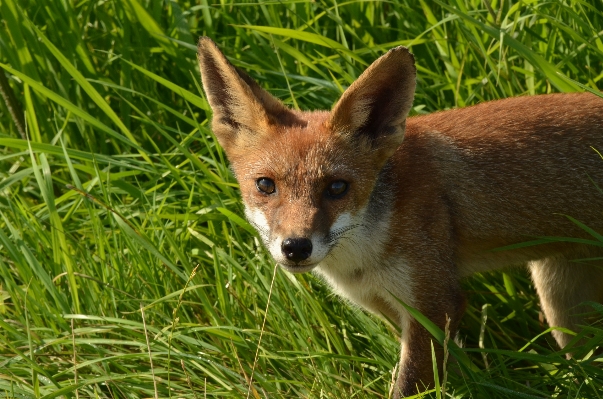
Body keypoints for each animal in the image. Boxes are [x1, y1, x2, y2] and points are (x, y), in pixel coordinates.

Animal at [197, 36, 603, 396]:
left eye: (337, 187)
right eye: (266, 185)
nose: (295, 247)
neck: (365, 255)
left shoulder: (435, 303)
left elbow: (408, 385)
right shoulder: (389, 306)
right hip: (561, 300)